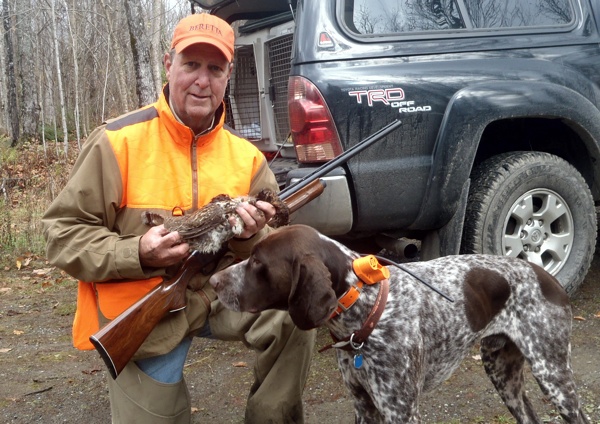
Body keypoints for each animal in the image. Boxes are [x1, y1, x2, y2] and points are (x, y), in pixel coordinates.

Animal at [209, 224, 588, 422]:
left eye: (257, 262)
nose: (213, 280)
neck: (367, 311)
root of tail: (544, 274)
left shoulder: (400, 410)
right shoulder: (364, 405)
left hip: (553, 375)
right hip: (502, 373)